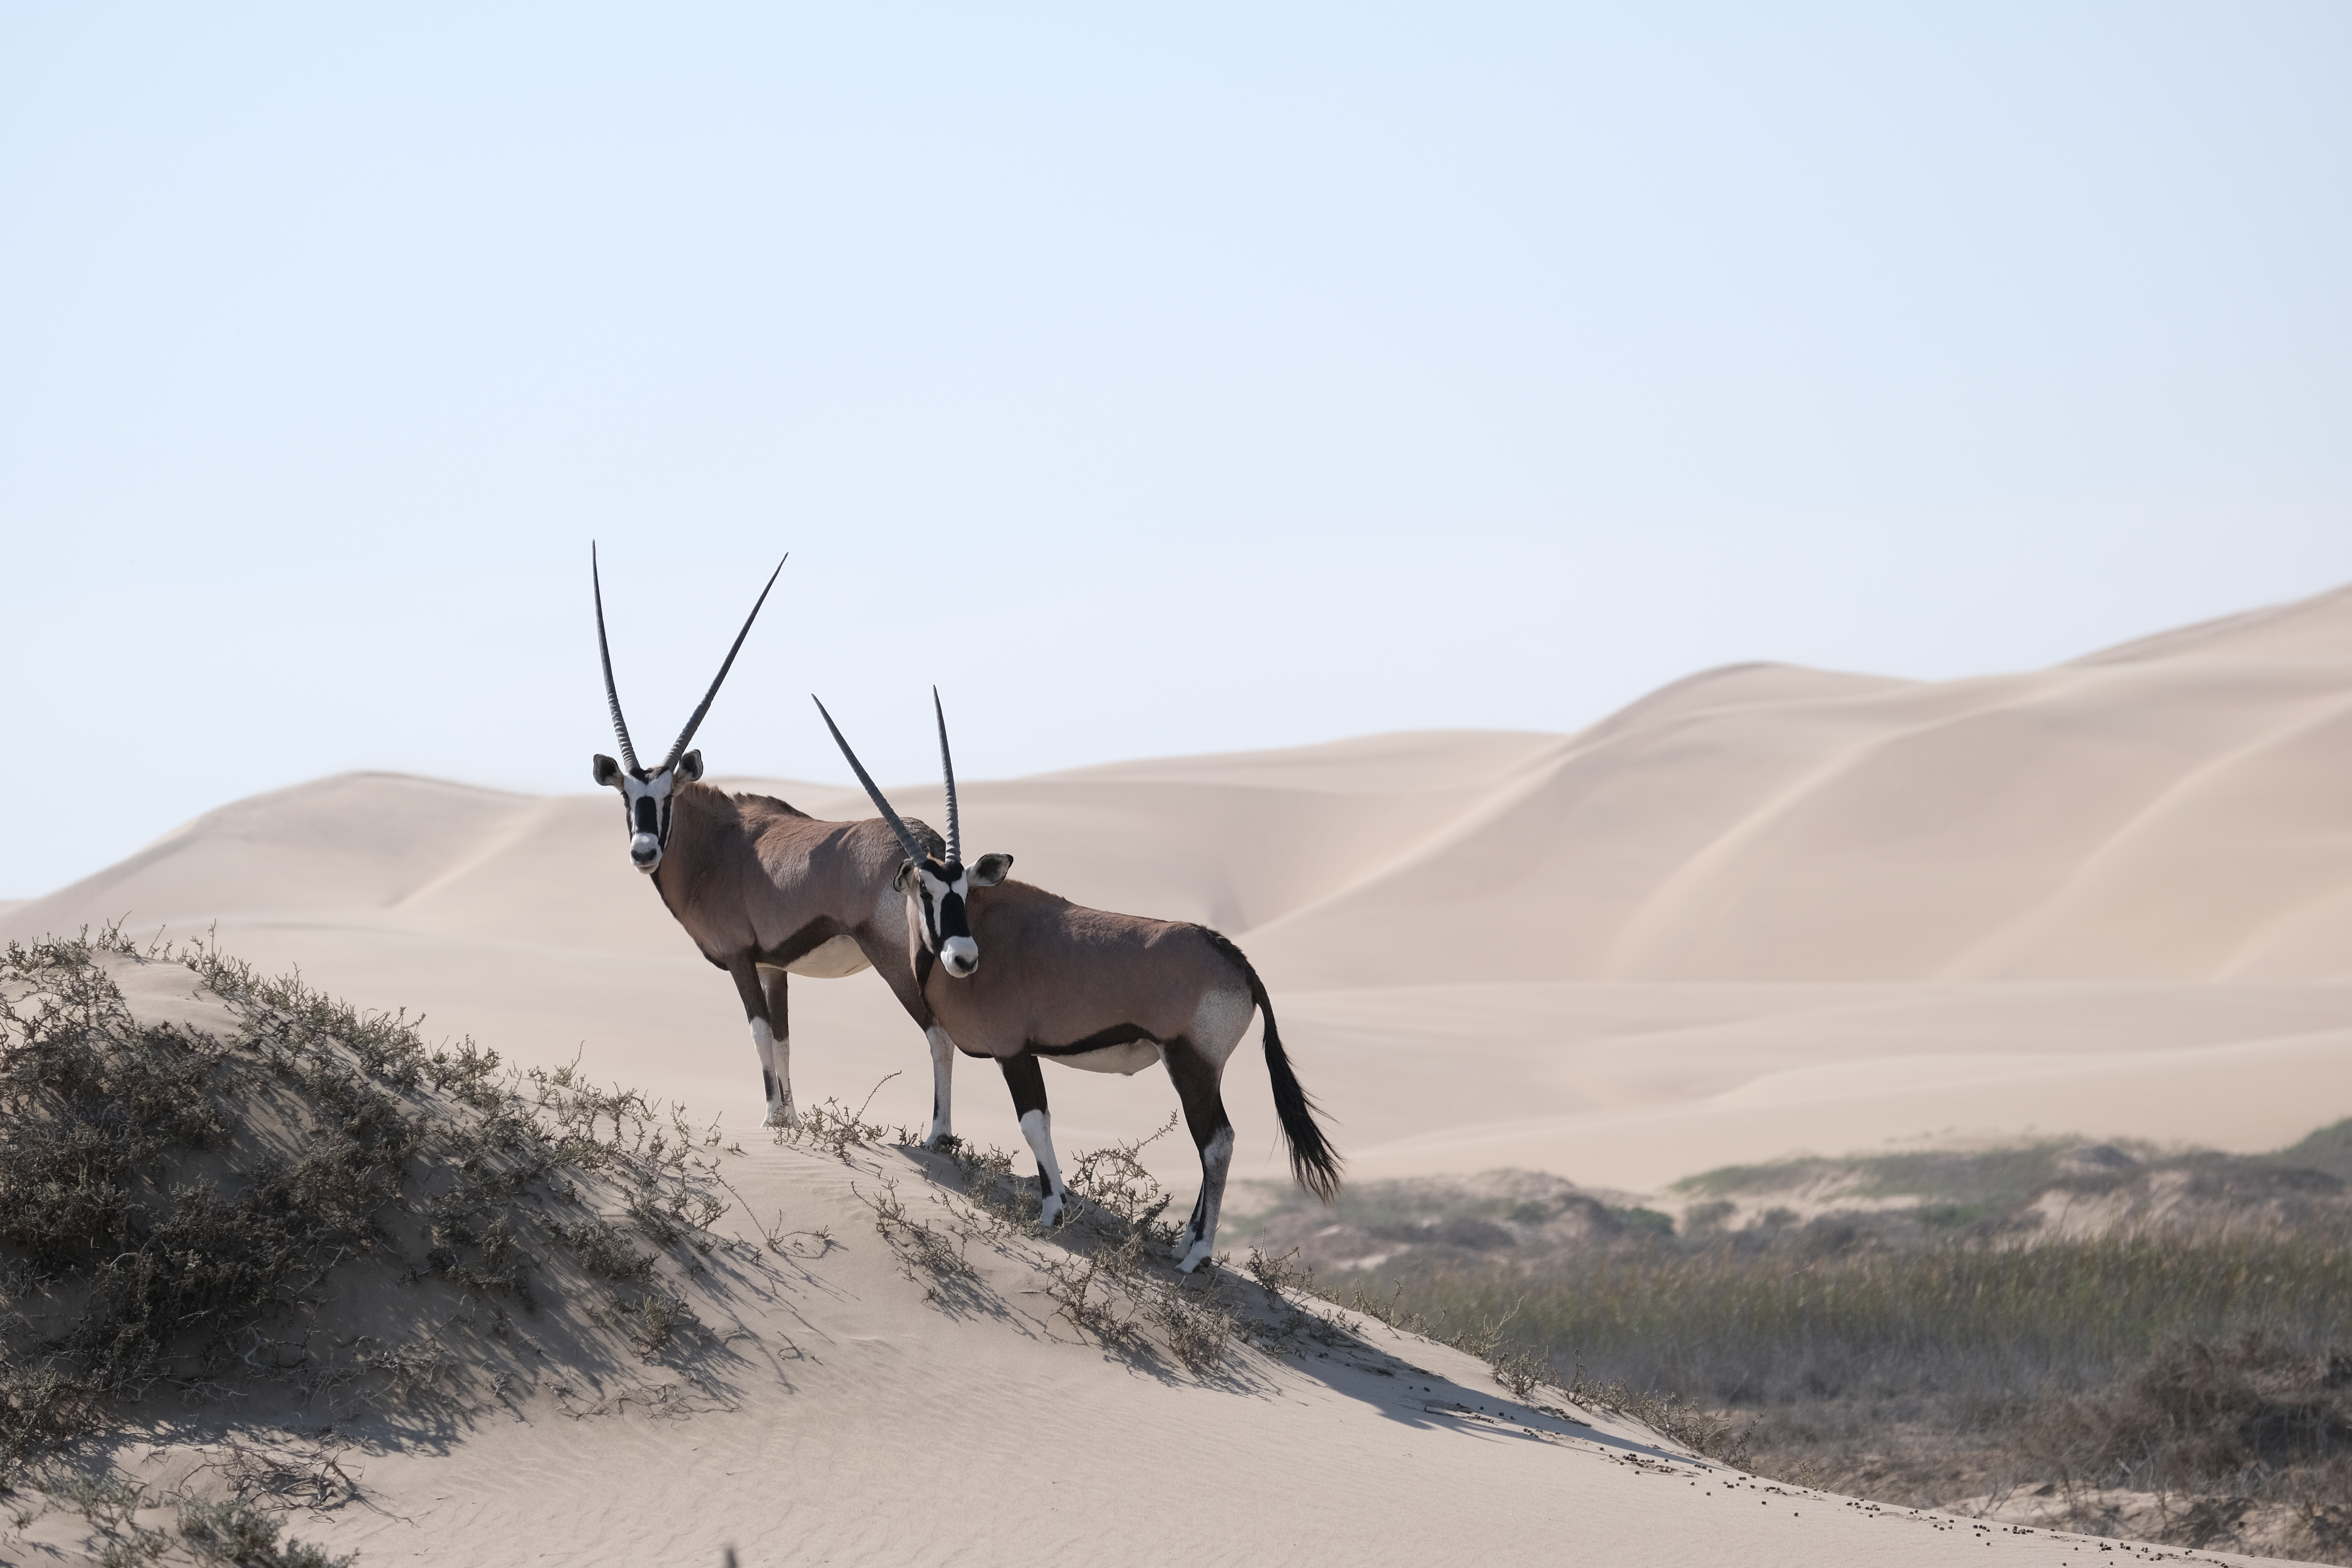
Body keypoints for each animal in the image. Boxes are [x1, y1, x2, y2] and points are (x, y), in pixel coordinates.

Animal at [589, 548, 964, 1138]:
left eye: (669, 794)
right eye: (627, 796)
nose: (644, 851)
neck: (718, 847)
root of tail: (926, 845)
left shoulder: (741, 957)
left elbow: (760, 1033)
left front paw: (771, 1119)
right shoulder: (775, 966)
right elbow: (786, 1039)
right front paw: (792, 1119)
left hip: (899, 964)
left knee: (939, 1034)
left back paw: (939, 1135)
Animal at [812, 691, 1342, 1271]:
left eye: (963, 890)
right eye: (926, 891)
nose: (964, 957)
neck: (987, 926)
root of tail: (1237, 960)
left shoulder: (1014, 1051)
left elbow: (1034, 1121)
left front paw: (1052, 1211)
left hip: (1191, 1063)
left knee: (1217, 1142)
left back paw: (1196, 1256)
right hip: (1204, 1069)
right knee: (1214, 1140)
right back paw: (1185, 1242)